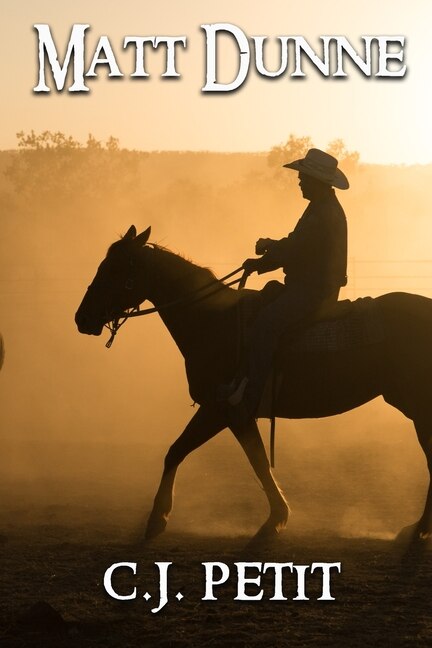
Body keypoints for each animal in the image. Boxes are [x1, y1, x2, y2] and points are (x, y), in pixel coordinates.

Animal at [76, 228, 432, 548]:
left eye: (114, 269)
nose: (82, 318)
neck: (216, 322)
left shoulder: (224, 409)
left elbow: (202, 453)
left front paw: (157, 520)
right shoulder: (233, 414)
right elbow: (239, 458)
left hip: (420, 410)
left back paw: (416, 531)